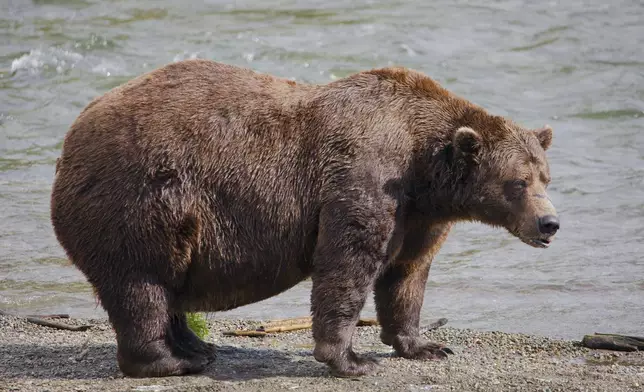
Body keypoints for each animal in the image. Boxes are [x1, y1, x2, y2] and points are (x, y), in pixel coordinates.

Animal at [51, 59, 560, 378]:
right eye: (518, 183)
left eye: (545, 177)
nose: (549, 224)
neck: (424, 169)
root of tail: (71, 136)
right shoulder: (364, 177)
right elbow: (347, 263)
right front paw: (352, 360)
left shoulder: (419, 216)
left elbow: (407, 274)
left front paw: (425, 345)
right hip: (141, 198)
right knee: (142, 283)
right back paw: (170, 361)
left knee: (167, 283)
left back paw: (198, 347)